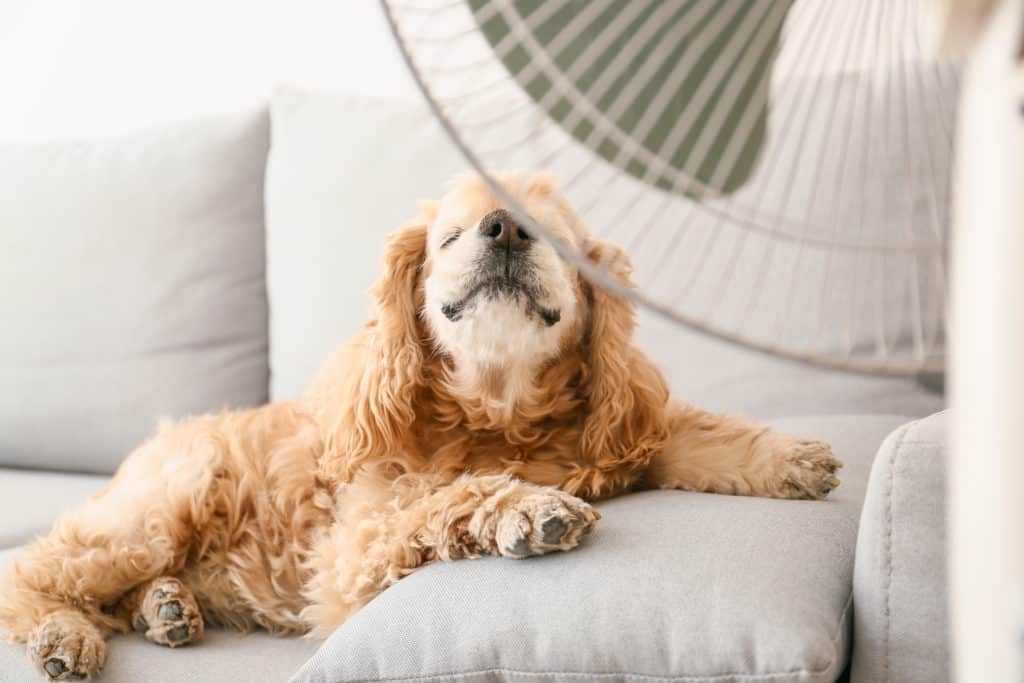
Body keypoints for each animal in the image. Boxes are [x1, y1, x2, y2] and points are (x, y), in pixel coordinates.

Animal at [0, 171, 839, 679]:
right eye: (452, 237)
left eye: (552, 234)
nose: (504, 229)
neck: (499, 412)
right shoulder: (354, 544)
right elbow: (450, 495)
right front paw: (529, 509)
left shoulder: (622, 428)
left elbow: (703, 434)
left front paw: (793, 457)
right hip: (163, 502)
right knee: (32, 574)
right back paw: (66, 635)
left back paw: (167, 608)